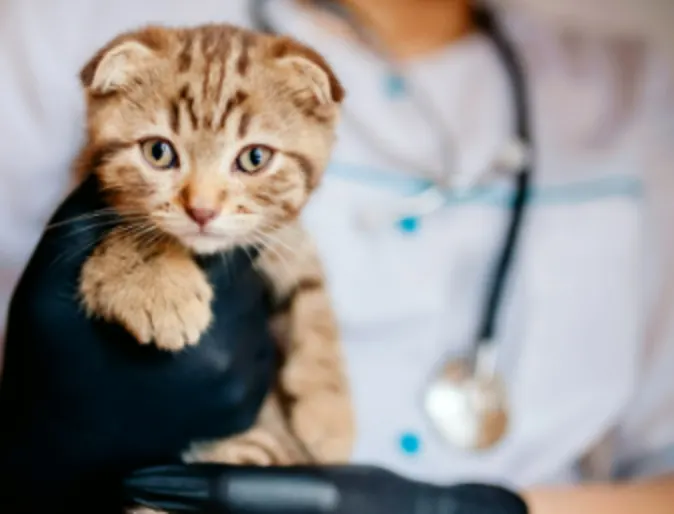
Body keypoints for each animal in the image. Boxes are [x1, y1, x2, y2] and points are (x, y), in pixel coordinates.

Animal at [75, 23, 352, 464]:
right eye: (158, 152)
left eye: (255, 158)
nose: (202, 210)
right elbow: (136, 229)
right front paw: (160, 289)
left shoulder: (285, 237)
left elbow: (312, 293)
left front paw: (330, 411)